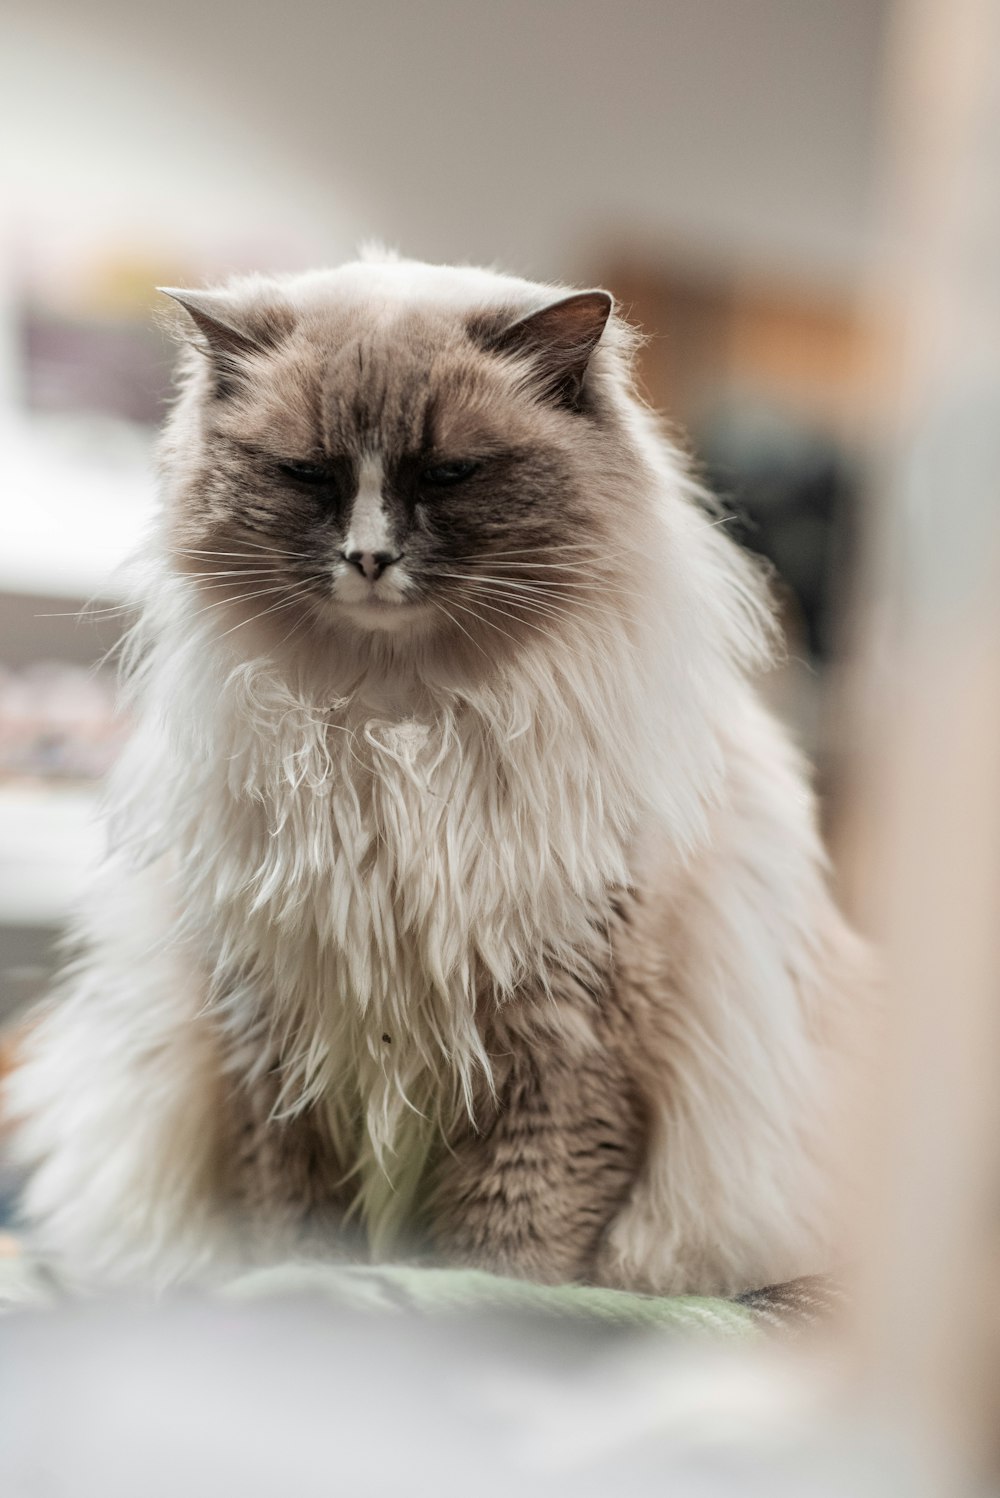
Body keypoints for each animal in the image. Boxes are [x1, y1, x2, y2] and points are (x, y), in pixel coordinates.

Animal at [0, 251, 862, 1294]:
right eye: (308, 475)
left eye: (449, 475)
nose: (369, 559)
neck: (394, 729)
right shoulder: (279, 1031)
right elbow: (288, 1238)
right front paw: (295, 1295)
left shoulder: (566, 1039)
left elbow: (511, 1251)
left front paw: (466, 1303)